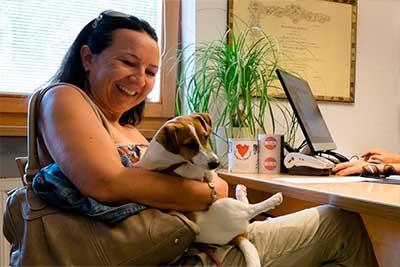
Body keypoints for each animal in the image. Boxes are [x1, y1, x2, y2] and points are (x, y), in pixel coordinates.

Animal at [133, 113, 282, 267]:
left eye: (205, 136)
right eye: (190, 144)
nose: (216, 163)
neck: (171, 158)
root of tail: (236, 237)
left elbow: (211, 175)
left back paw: (240, 191)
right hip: (227, 206)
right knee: (250, 209)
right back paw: (274, 199)